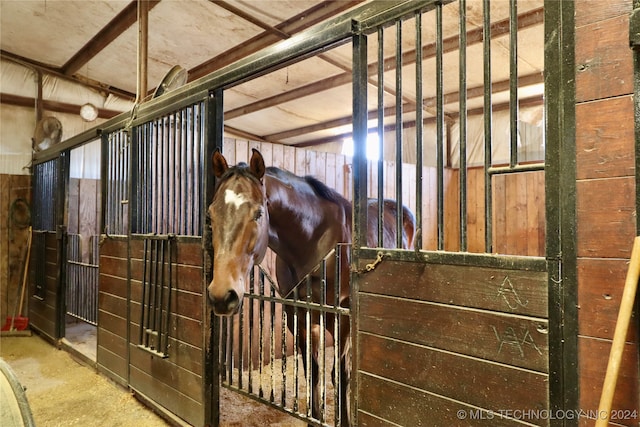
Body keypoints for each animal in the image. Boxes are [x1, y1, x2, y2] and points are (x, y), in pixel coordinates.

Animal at [206, 149, 416, 426]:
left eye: (259, 213)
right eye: (210, 214)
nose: (221, 296)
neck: (314, 241)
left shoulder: (343, 318)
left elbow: (340, 373)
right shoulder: (300, 316)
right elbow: (313, 372)